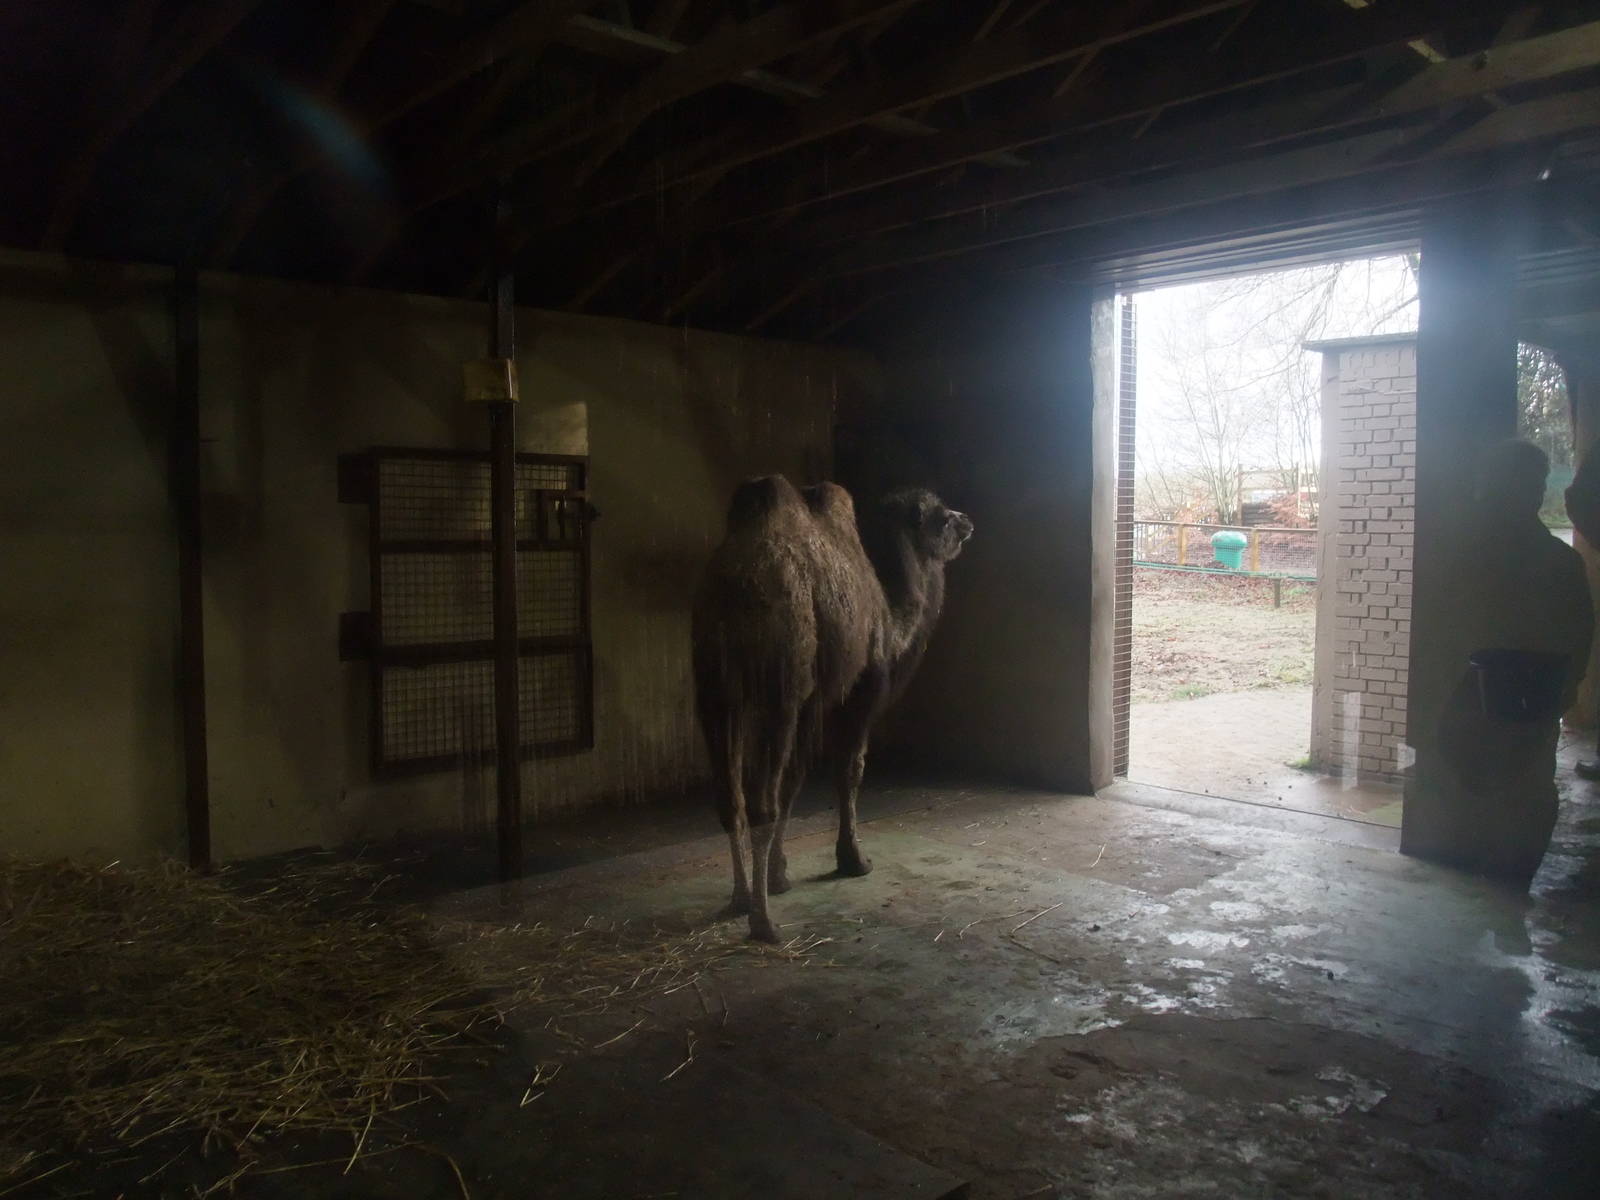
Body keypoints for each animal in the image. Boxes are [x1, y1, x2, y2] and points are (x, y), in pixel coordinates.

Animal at [691, 476, 973, 942]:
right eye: (943, 517)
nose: (968, 521)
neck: (895, 623)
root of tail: (738, 586)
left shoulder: (813, 702)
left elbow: (796, 779)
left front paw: (780, 874)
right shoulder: (859, 690)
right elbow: (849, 770)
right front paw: (853, 859)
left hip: (713, 690)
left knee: (730, 797)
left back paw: (740, 898)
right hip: (780, 685)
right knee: (762, 801)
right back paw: (763, 922)